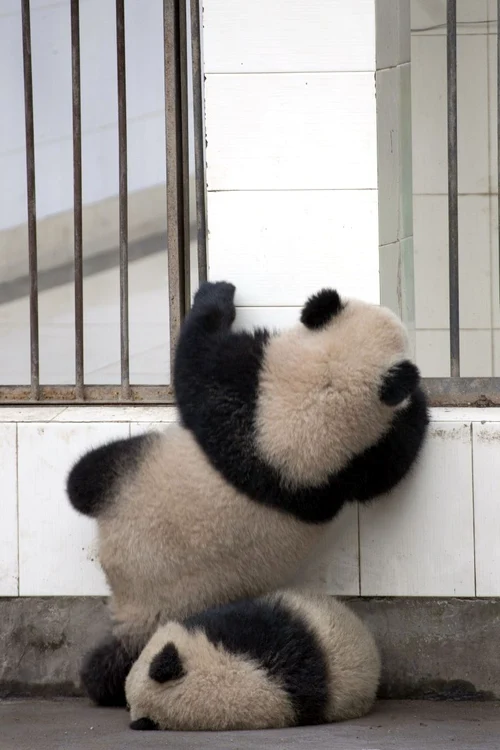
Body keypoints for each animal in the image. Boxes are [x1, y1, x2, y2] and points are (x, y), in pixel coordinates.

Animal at [67, 281, 428, 708]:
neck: (320, 398)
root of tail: (130, 600)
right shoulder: (262, 406)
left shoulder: (267, 405)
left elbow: (196, 366)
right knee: (82, 481)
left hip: (135, 483)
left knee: (87, 475)